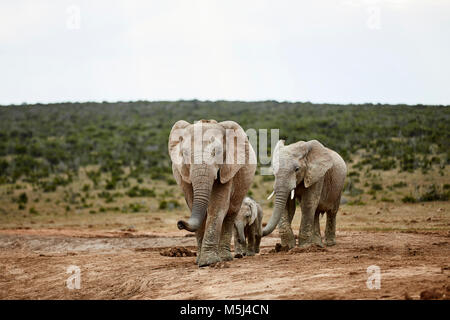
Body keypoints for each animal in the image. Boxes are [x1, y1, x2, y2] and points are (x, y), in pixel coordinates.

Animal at [168, 119, 256, 266]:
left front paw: (208, 262)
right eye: (184, 154)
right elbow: (193, 204)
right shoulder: (183, 173)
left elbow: (217, 207)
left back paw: (225, 258)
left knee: (231, 214)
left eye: (216, 152)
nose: (179, 223)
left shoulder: (227, 169)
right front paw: (200, 261)